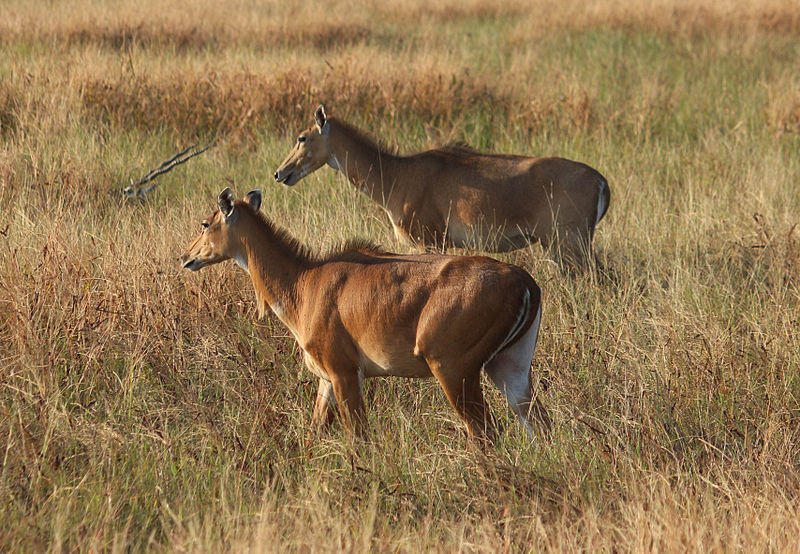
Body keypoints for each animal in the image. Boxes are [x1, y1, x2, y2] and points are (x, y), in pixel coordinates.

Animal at [180, 188, 552, 442]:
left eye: (205, 223)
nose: (186, 257)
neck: (303, 282)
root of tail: (524, 282)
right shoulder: (326, 380)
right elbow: (313, 432)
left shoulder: (345, 372)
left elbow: (359, 438)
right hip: (511, 367)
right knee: (538, 424)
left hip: (453, 368)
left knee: (485, 432)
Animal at [276, 105, 612, 266]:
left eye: (302, 137)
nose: (280, 173)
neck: (396, 175)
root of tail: (601, 182)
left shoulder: (428, 241)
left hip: (569, 241)